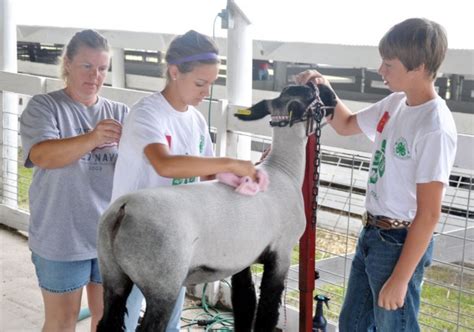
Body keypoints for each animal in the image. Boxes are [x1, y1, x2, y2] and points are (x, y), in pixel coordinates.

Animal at [95, 83, 334, 332]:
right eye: (313, 93)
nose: (332, 96)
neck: (283, 170)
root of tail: (123, 210)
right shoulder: (281, 253)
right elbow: (267, 311)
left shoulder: (243, 257)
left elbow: (245, 302)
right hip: (162, 282)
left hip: (112, 273)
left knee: (107, 320)